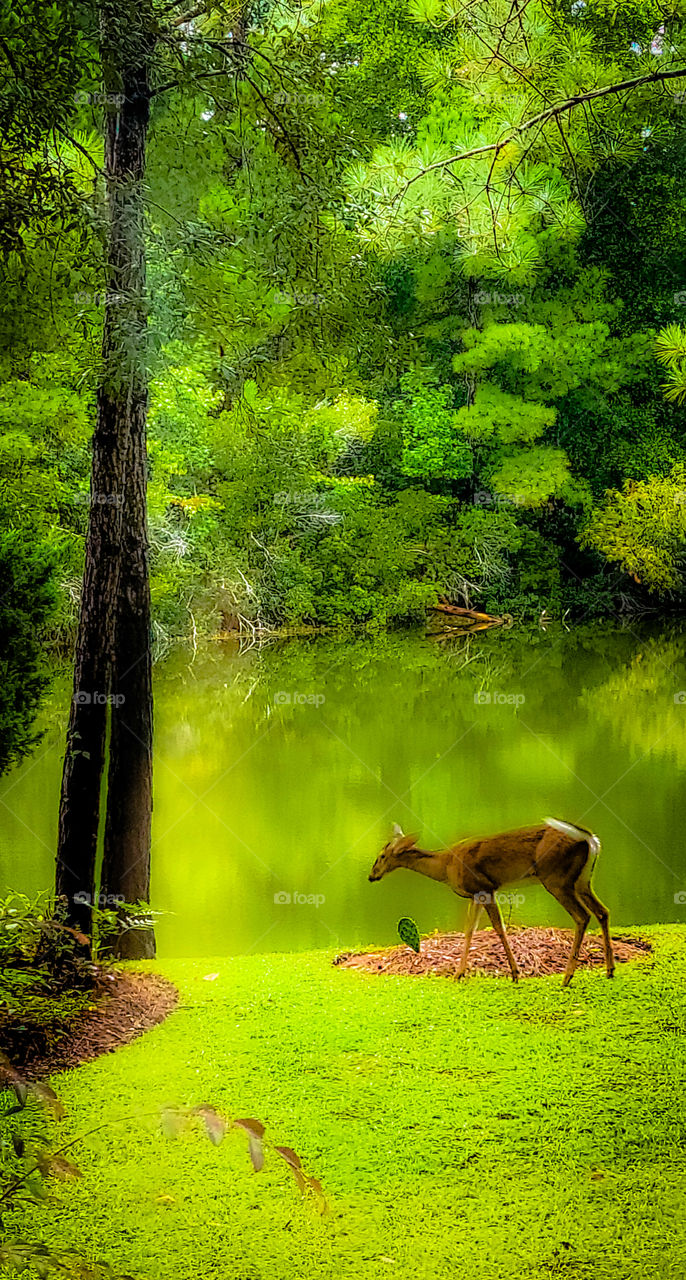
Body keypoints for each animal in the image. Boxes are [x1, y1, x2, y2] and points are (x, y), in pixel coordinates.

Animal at [368, 818, 614, 987]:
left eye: (381, 856)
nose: (371, 876)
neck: (445, 866)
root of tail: (590, 839)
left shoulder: (486, 887)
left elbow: (499, 927)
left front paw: (515, 973)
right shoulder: (475, 893)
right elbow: (469, 930)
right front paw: (459, 973)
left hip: (556, 878)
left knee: (582, 916)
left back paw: (567, 976)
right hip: (581, 880)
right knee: (602, 911)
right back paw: (609, 970)